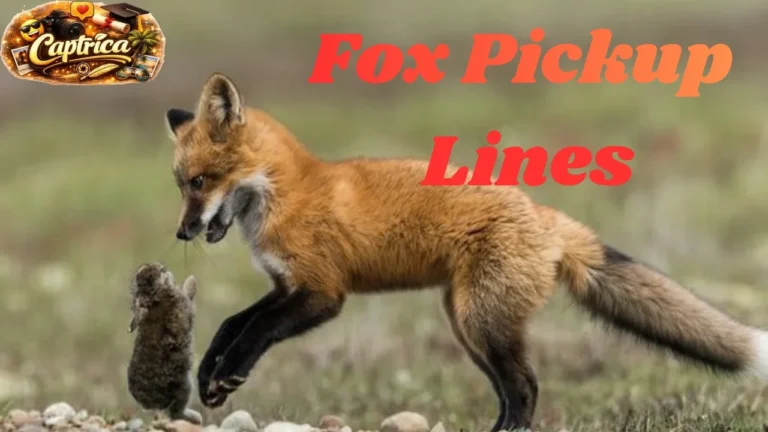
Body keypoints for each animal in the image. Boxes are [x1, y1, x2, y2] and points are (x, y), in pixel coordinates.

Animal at [165, 72, 768, 432]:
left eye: (199, 182)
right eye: (180, 185)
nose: (182, 234)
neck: (286, 195)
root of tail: (543, 215)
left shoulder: (322, 292)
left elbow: (256, 332)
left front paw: (229, 374)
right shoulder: (286, 285)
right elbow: (232, 323)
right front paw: (210, 374)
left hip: (481, 321)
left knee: (524, 387)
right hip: (467, 323)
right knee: (510, 389)